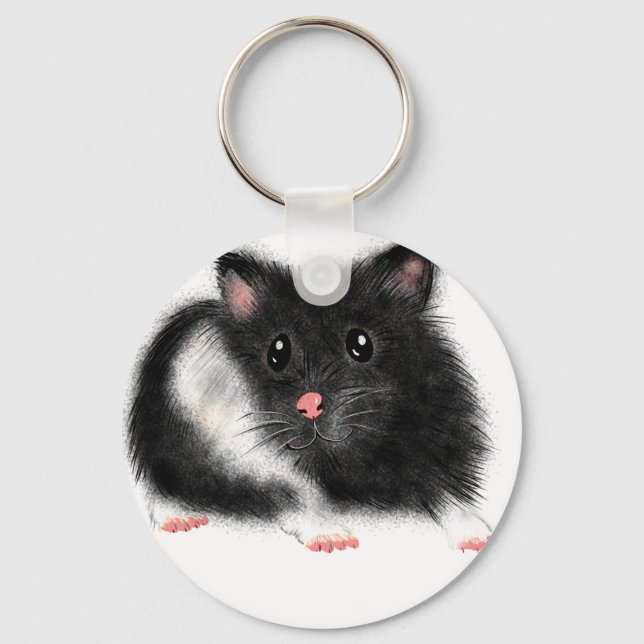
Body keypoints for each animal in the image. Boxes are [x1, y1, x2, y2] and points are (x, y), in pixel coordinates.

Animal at [126, 244, 493, 552]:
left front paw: (477, 538)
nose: (310, 405)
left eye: (361, 343)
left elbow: (448, 496)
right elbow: (297, 497)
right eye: (277, 353)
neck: (347, 457)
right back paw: (182, 522)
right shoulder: (252, 464)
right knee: (159, 484)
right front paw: (336, 542)